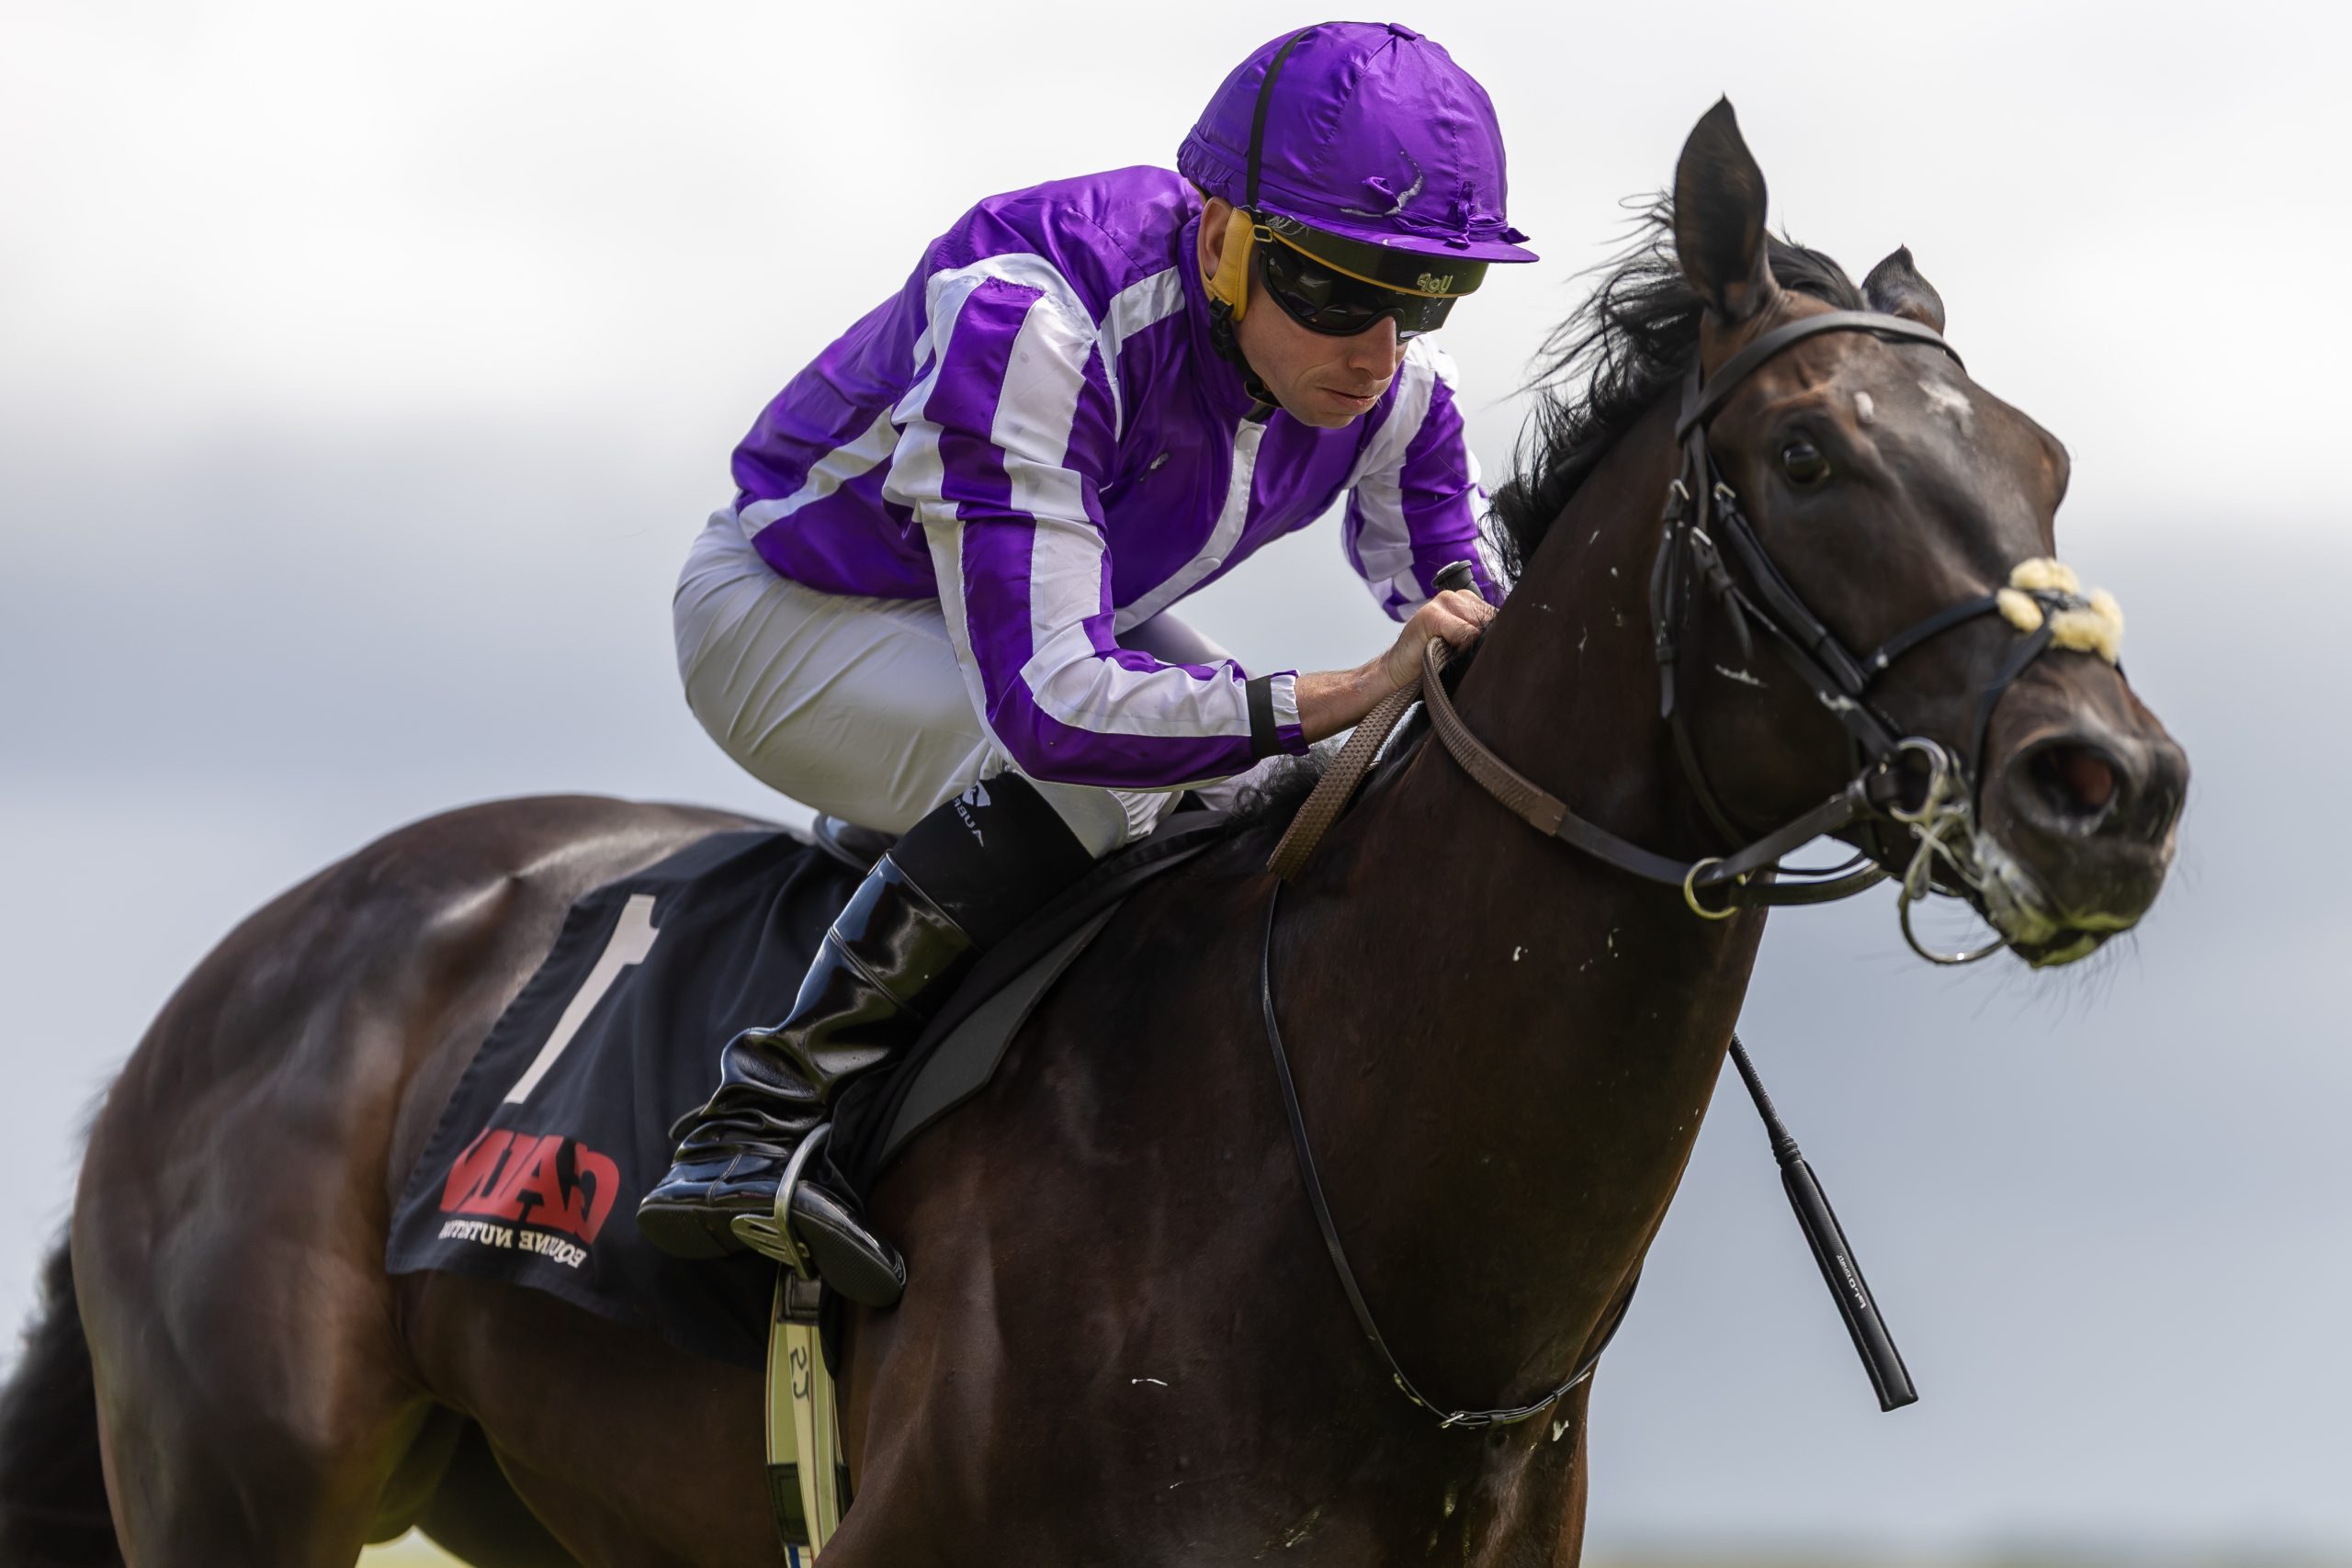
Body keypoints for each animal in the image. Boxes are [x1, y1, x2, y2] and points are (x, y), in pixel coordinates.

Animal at [0, 100, 2186, 1567]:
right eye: (1808, 454)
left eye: (2047, 461)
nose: (2114, 787)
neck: (1339, 1199)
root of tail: (222, 991)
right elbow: (1050, 702)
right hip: (241, 1494)